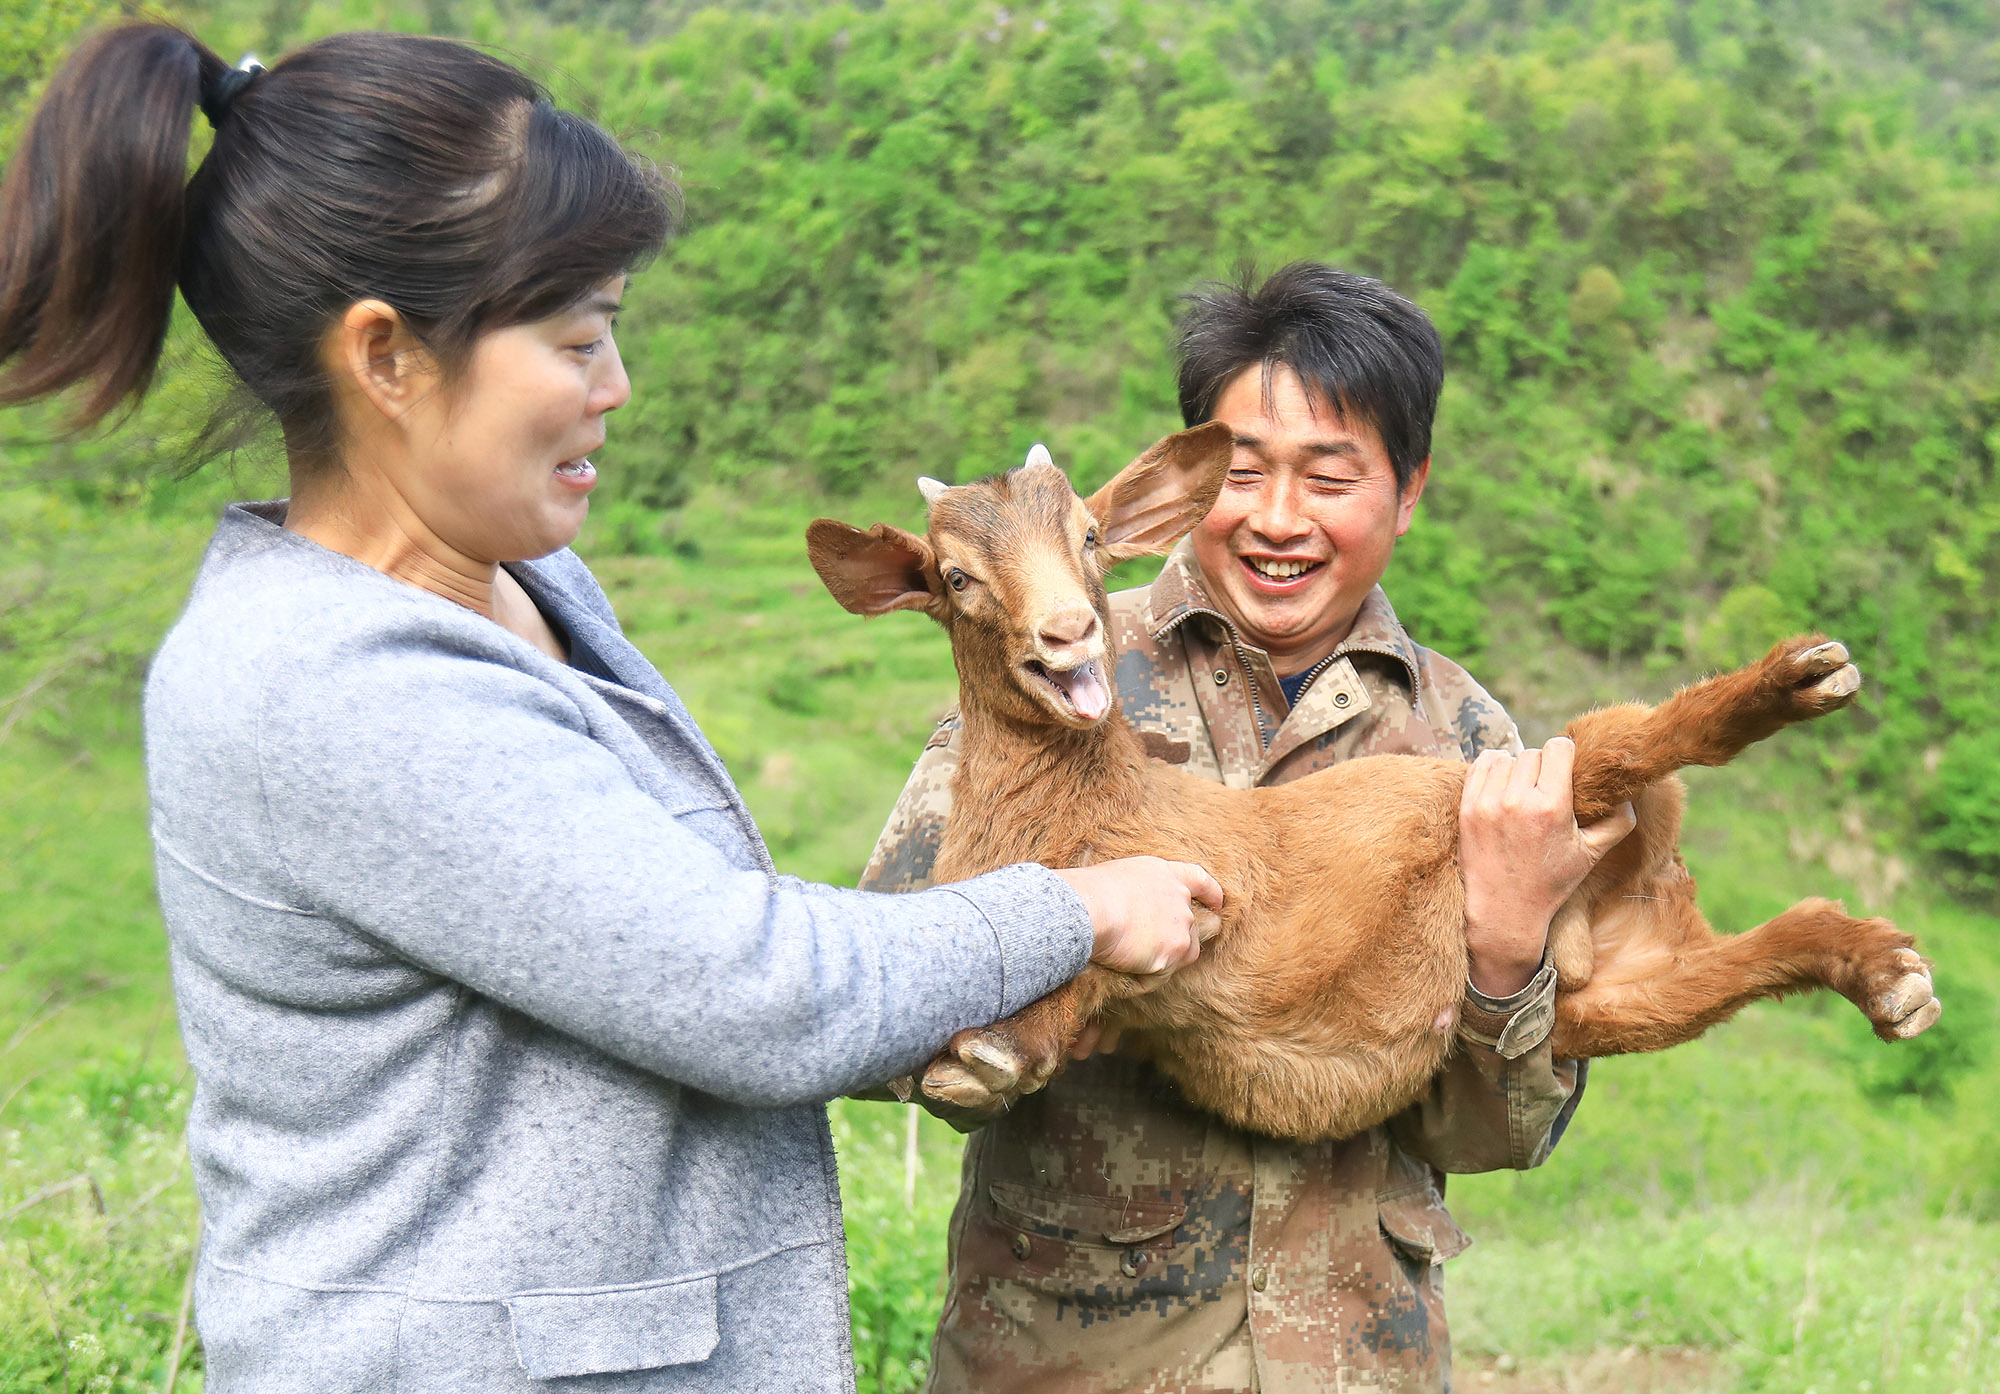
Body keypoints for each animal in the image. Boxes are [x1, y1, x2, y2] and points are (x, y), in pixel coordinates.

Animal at [804, 426, 1944, 1144]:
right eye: (956, 576)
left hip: (1551, 775)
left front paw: (997, 1050)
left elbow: (1102, 967)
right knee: (1738, 956)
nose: (1067, 632)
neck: (1069, 813)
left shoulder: (1200, 886)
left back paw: (1797, 679)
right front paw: (985, 1059)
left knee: (1633, 742)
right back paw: (1885, 972)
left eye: (1089, 536)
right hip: (1607, 992)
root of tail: (1629, 894)